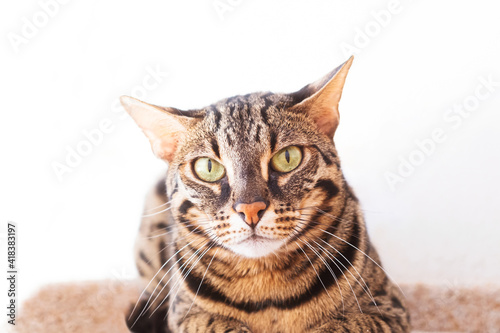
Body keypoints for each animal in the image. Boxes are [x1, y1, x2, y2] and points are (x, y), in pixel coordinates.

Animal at [121, 57, 410, 332]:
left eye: (288, 157)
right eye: (208, 167)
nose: (250, 209)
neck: (266, 288)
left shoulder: (390, 309)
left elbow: (341, 326)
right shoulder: (183, 315)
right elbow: (216, 324)